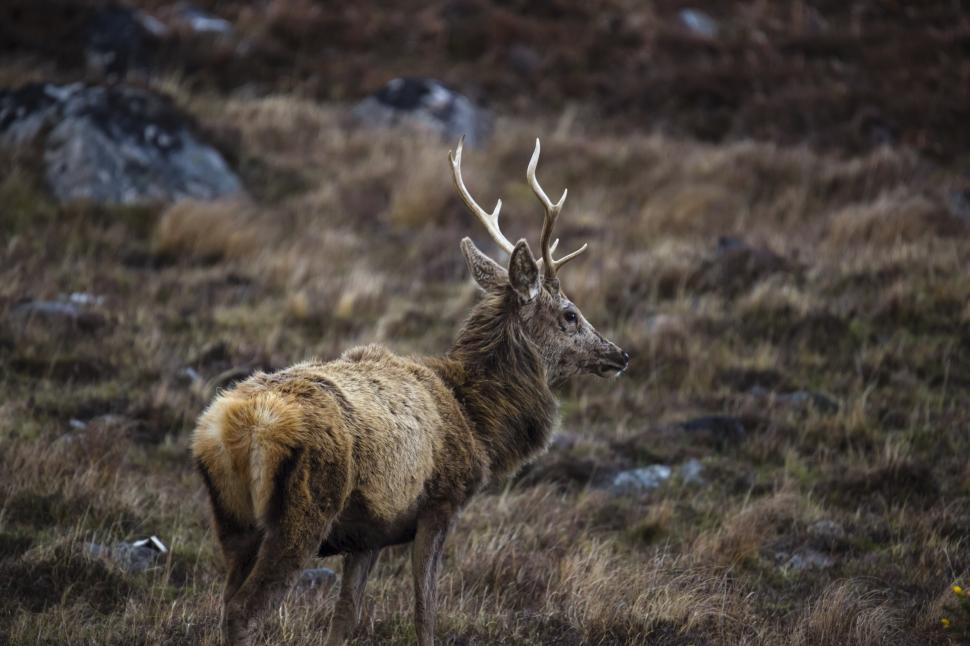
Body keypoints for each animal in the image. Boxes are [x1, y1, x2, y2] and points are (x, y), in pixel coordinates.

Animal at [191, 136, 629, 645]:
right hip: (300, 513)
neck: (479, 423)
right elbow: (426, 612)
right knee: (245, 610)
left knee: (225, 602)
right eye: (569, 314)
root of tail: (230, 429)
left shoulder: (369, 532)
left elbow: (346, 617)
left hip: (232, 519)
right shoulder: (440, 505)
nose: (619, 354)